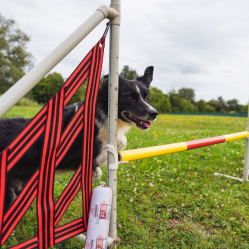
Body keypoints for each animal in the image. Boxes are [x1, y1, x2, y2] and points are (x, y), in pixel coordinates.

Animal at [0, 65, 159, 210]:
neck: (100, 115)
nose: (154, 113)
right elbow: (102, 162)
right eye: (131, 97)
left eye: (145, 97)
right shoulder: (82, 155)